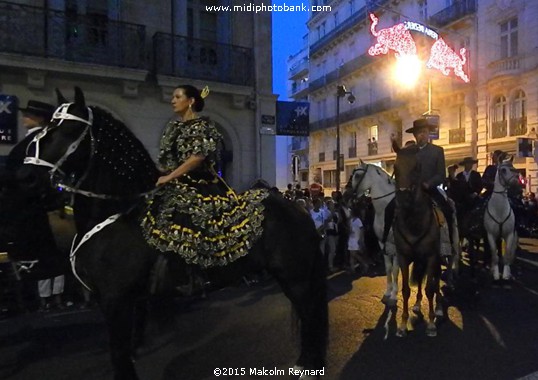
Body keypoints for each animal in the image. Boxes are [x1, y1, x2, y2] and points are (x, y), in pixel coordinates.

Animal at [18, 87, 324, 378]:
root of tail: (298, 209)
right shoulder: (125, 301)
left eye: (68, 130)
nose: (28, 177)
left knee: (310, 316)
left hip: (295, 277)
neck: (119, 212)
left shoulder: (116, 299)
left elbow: (119, 356)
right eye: (45, 127)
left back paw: (306, 367)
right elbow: (124, 352)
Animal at [390, 144, 440, 336]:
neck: (414, 223)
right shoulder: (403, 257)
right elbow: (405, 290)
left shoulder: (432, 256)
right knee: (418, 280)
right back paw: (418, 304)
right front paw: (403, 324)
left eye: (417, 167)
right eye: (395, 167)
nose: (403, 197)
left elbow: (430, 289)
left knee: (435, 281)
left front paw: (431, 323)